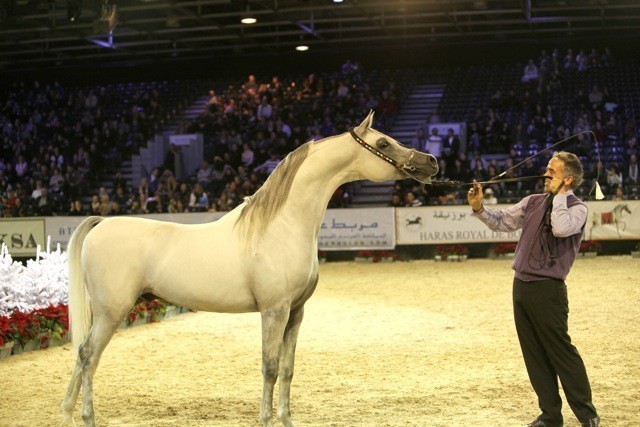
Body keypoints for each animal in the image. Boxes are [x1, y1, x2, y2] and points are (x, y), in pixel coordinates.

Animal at [60, 111, 439, 427]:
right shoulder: (273, 310)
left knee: (81, 357)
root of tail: (101, 223)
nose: (431, 162)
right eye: (383, 143)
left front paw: (285, 419)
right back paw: (87, 417)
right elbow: (269, 367)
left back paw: (67, 413)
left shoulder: (295, 313)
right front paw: (266, 419)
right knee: (88, 356)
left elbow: (287, 368)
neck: (281, 226)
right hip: (112, 311)